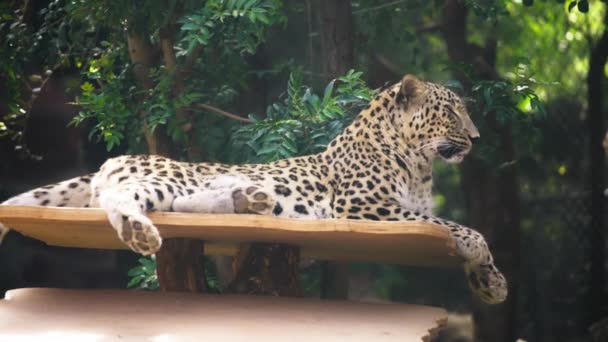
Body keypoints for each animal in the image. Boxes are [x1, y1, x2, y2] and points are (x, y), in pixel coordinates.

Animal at [0, 73, 508, 304]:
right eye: (451, 112)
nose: (478, 137)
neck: (420, 166)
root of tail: (116, 158)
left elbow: (450, 227)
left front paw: (490, 283)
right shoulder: (366, 208)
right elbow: (455, 226)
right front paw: (480, 256)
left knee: (182, 204)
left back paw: (251, 199)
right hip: (170, 176)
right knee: (122, 200)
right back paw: (140, 230)